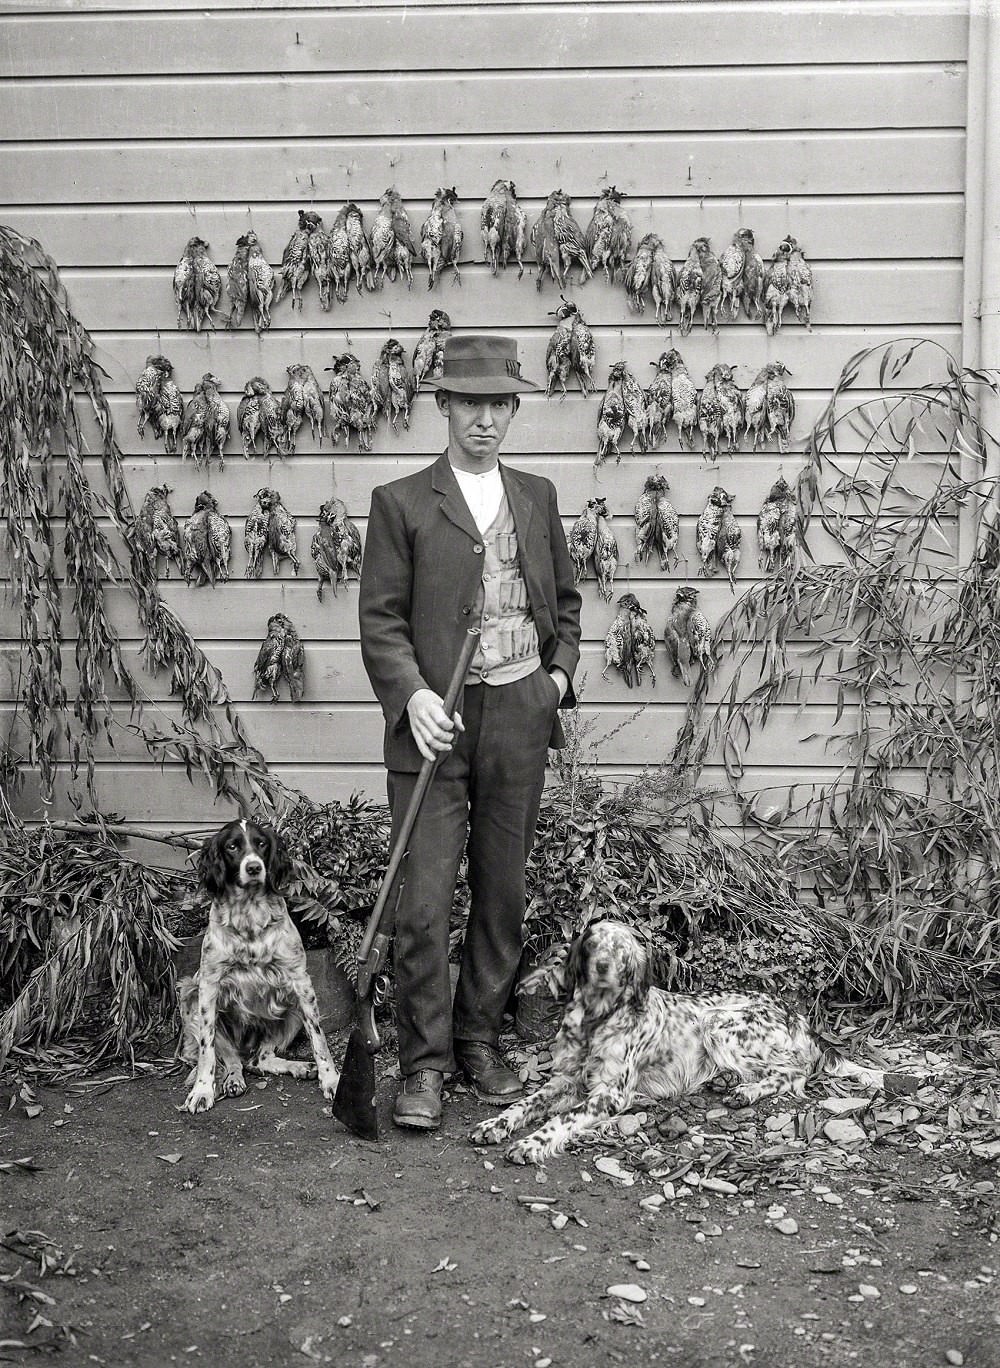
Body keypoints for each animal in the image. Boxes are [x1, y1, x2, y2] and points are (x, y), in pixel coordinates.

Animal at [176, 815, 340, 1116]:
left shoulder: (301, 983)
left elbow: (319, 1039)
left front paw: (331, 1080)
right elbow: (207, 1052)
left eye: (261, 844)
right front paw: (202, 1091)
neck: (249, 917)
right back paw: (232, 1080)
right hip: (190, 994)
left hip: (292, 1010)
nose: (253, 867)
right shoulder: (208, 986)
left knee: (258, 1059)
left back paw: (300, 1067)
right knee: (232, 1059)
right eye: (232, 846)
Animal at [470, 919, 886, 1165]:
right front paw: (496, 1124)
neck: (596, 1019)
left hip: (719, 1024)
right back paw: (728, 1082)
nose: (602, 968)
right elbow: (524, 1103)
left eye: (623, 952)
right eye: (591, 944)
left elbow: (562, 1118)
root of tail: (794, 1012)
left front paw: (530, 1143)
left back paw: (745, 1092)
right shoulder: (564, 1080)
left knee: (794, 1072)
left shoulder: (610, 1094)